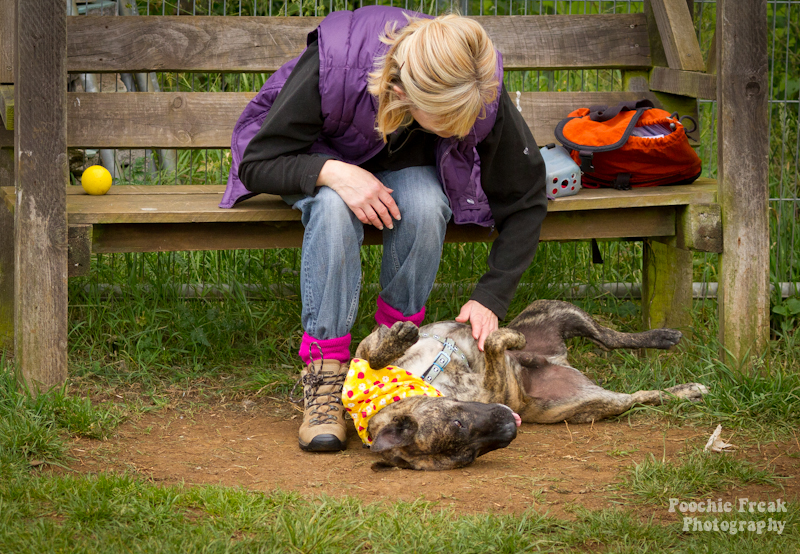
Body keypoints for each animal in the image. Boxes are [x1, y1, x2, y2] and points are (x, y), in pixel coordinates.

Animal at [350, 300, 708, 468]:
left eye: (457, 421)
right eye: (468, 453)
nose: (510, 428)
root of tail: (561, 360)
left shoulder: (366, 353)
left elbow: (373, 353)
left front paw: (396, 339)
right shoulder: (491, 384)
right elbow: (495, 345)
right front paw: (504, 340)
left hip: (558, 311)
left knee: (609, 337)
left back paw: (663, 336)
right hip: (592, 404)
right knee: (641, 394)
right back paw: (686, 391)